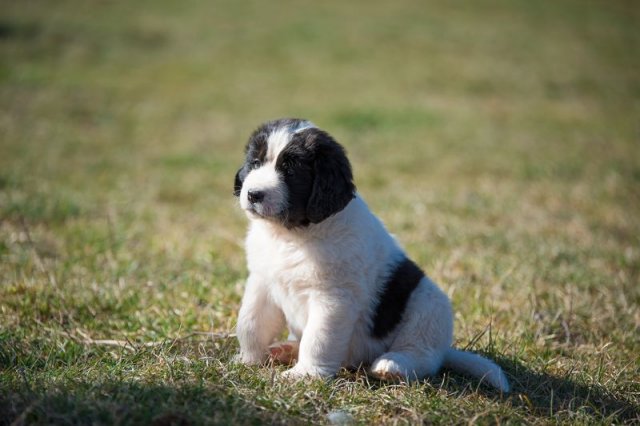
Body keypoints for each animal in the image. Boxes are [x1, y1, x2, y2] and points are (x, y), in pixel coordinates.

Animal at [233, 118, 510, 392]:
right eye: (255, 162)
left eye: (290, 170)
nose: (253, 194)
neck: (291, 235)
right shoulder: (262, 282)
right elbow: (250, 323)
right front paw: (247, 360)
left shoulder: (333, 298)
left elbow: (318, 338)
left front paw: (305, 375)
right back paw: (286, 349)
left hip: (428, 306)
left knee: (422, 355)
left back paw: (392, 366)